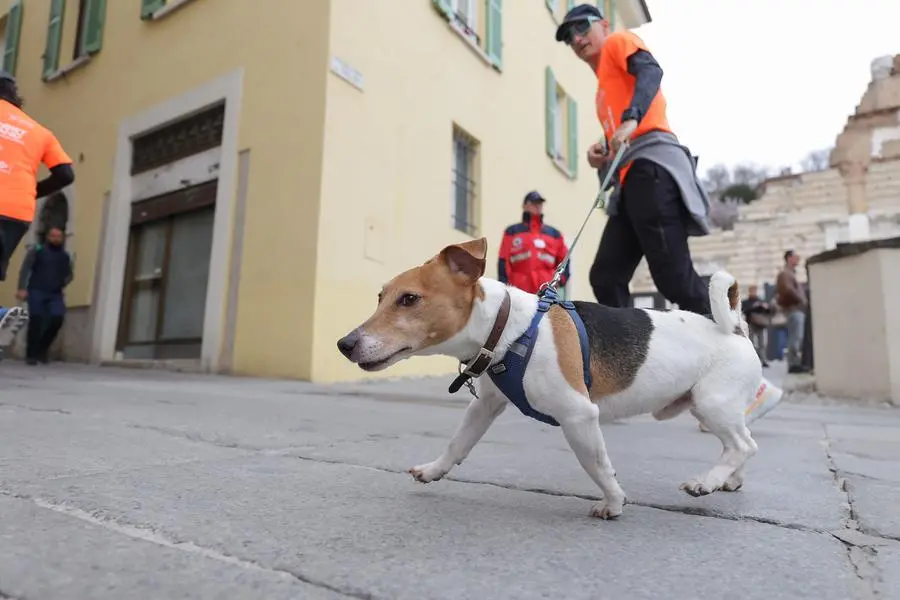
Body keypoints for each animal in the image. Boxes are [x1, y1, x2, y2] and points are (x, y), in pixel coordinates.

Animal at [338, 237, 760, 516]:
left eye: (409, 299)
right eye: (380, 297)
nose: (344, 344)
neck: (510, 330)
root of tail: (736, 328)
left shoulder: (578, 416)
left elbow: (597, 465)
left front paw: (613, 502)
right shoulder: (486, 405)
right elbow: (458, 444)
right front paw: (433, 470)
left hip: (711, 404)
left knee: (743, 445)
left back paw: (707, 481)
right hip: (713, 407)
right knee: (741, 443)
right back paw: (730, 479)